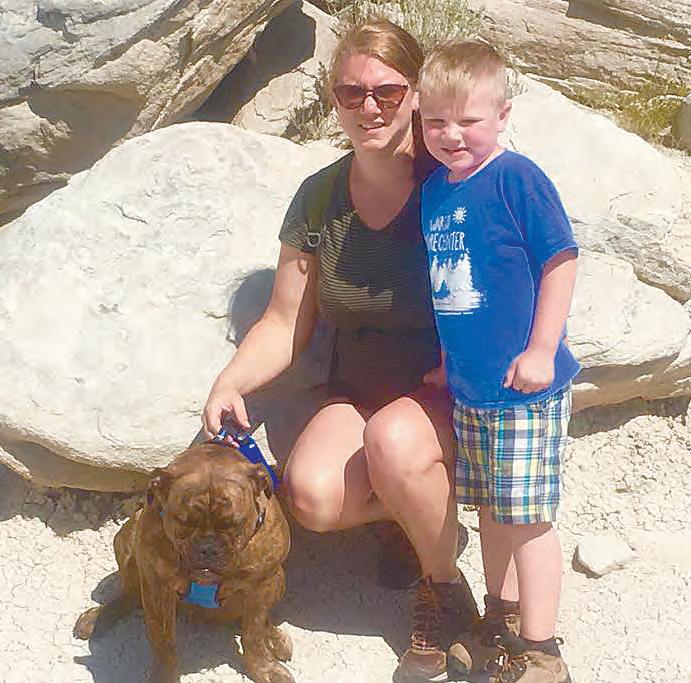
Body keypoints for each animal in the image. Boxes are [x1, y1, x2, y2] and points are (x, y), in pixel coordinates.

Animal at [74, 442, 294, 683]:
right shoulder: (157, 586)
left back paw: (273, 638)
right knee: (130, 594)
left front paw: (264, 668)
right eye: (185, 522)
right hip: (127, 537)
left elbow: (253, 633)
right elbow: (162, 641)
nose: (208, 547)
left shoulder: (261, 586)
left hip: (279, 579)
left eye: (233, 523)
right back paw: (97, 618)